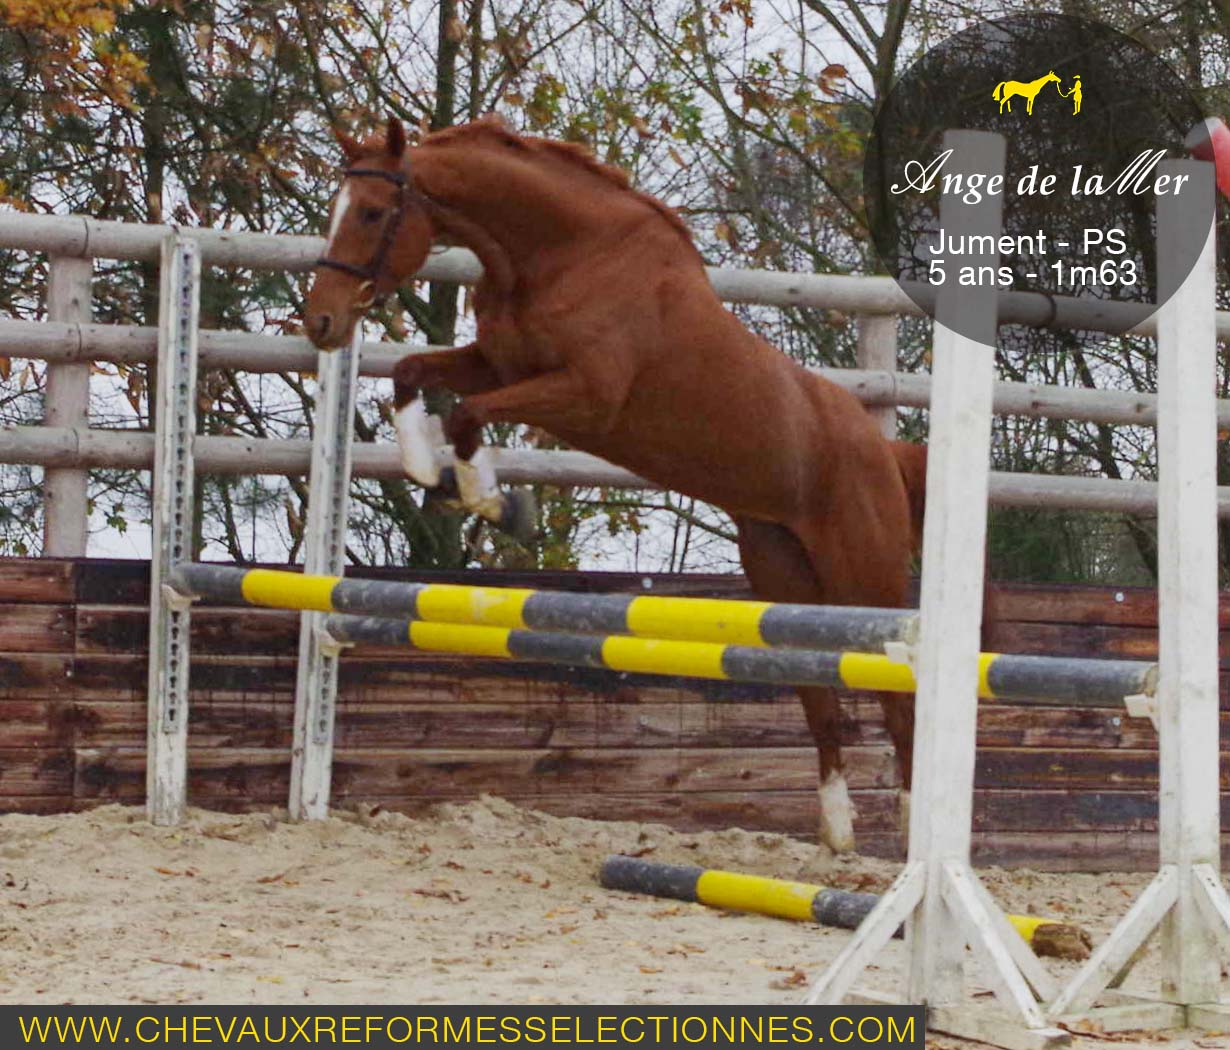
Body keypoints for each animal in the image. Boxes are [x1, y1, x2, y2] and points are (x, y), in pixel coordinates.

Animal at [305, 114, 924, 855]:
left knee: (899, 692)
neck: (562, 255)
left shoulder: (586, 398)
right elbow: (412, 373)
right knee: (818, 692)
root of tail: (882, 450)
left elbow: (467, 414)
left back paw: (912, 822)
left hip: (861, 571)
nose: (320, 322)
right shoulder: (497, 363)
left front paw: (495, 501)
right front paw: (433, 473)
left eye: (372, 212)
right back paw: (836, 829)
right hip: (782, 571)